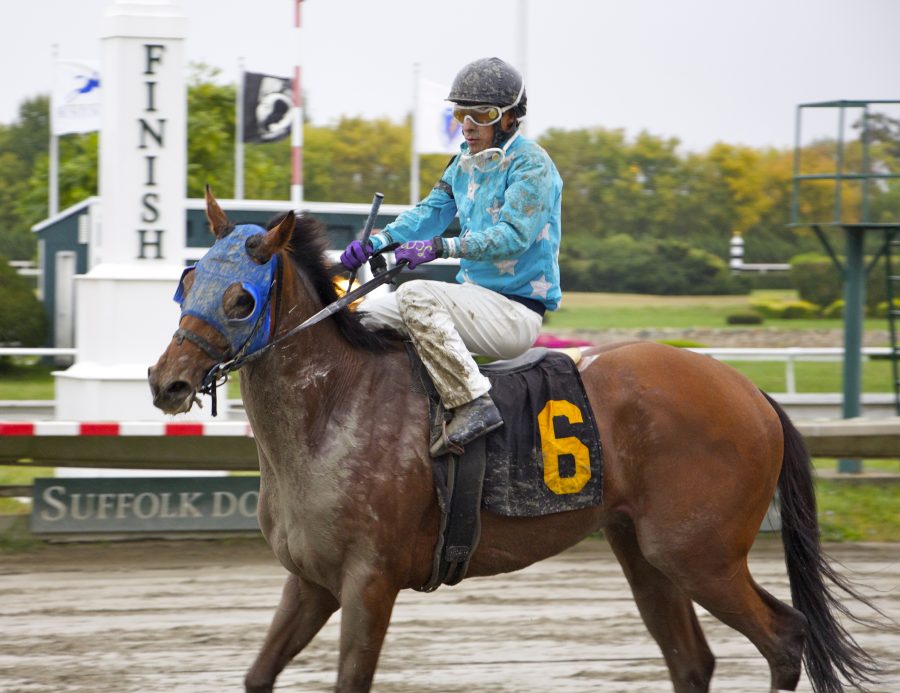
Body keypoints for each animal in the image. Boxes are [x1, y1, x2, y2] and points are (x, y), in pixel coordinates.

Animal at [148, 191, 880, 692]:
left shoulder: (369, 581)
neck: (332, 411)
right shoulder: (310, 581)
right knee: (692, 661)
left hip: (700, 554)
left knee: (785, 638)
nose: (167, 381)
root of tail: (749, 390)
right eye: (187, 281)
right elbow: (257, 674)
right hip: (647, 555)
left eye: (241, 299)